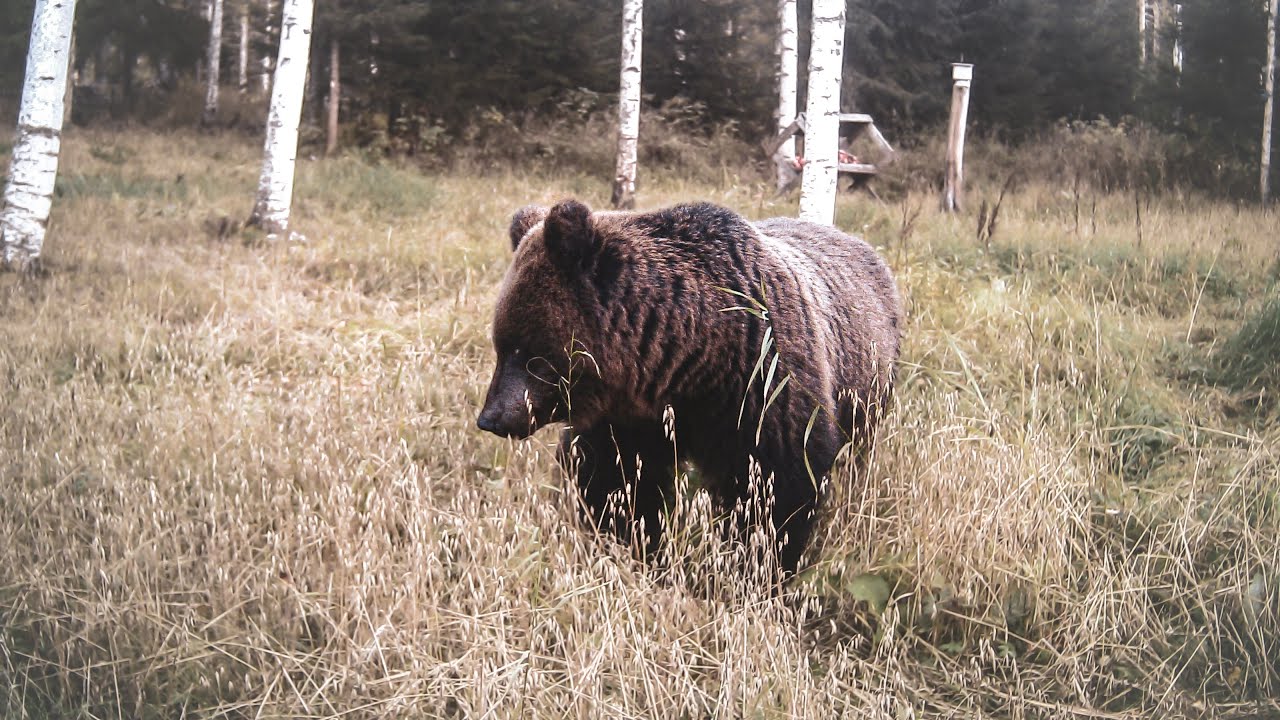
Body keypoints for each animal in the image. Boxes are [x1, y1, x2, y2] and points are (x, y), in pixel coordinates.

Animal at [477, 199, 902, 574]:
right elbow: (616, 484)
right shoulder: (627, 418)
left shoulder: (763, 387)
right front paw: (631, 547)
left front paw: (759, 570)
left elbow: (776, 494)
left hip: (866, 386)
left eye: (526, 351)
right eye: (500, 343)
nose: (491, 418)